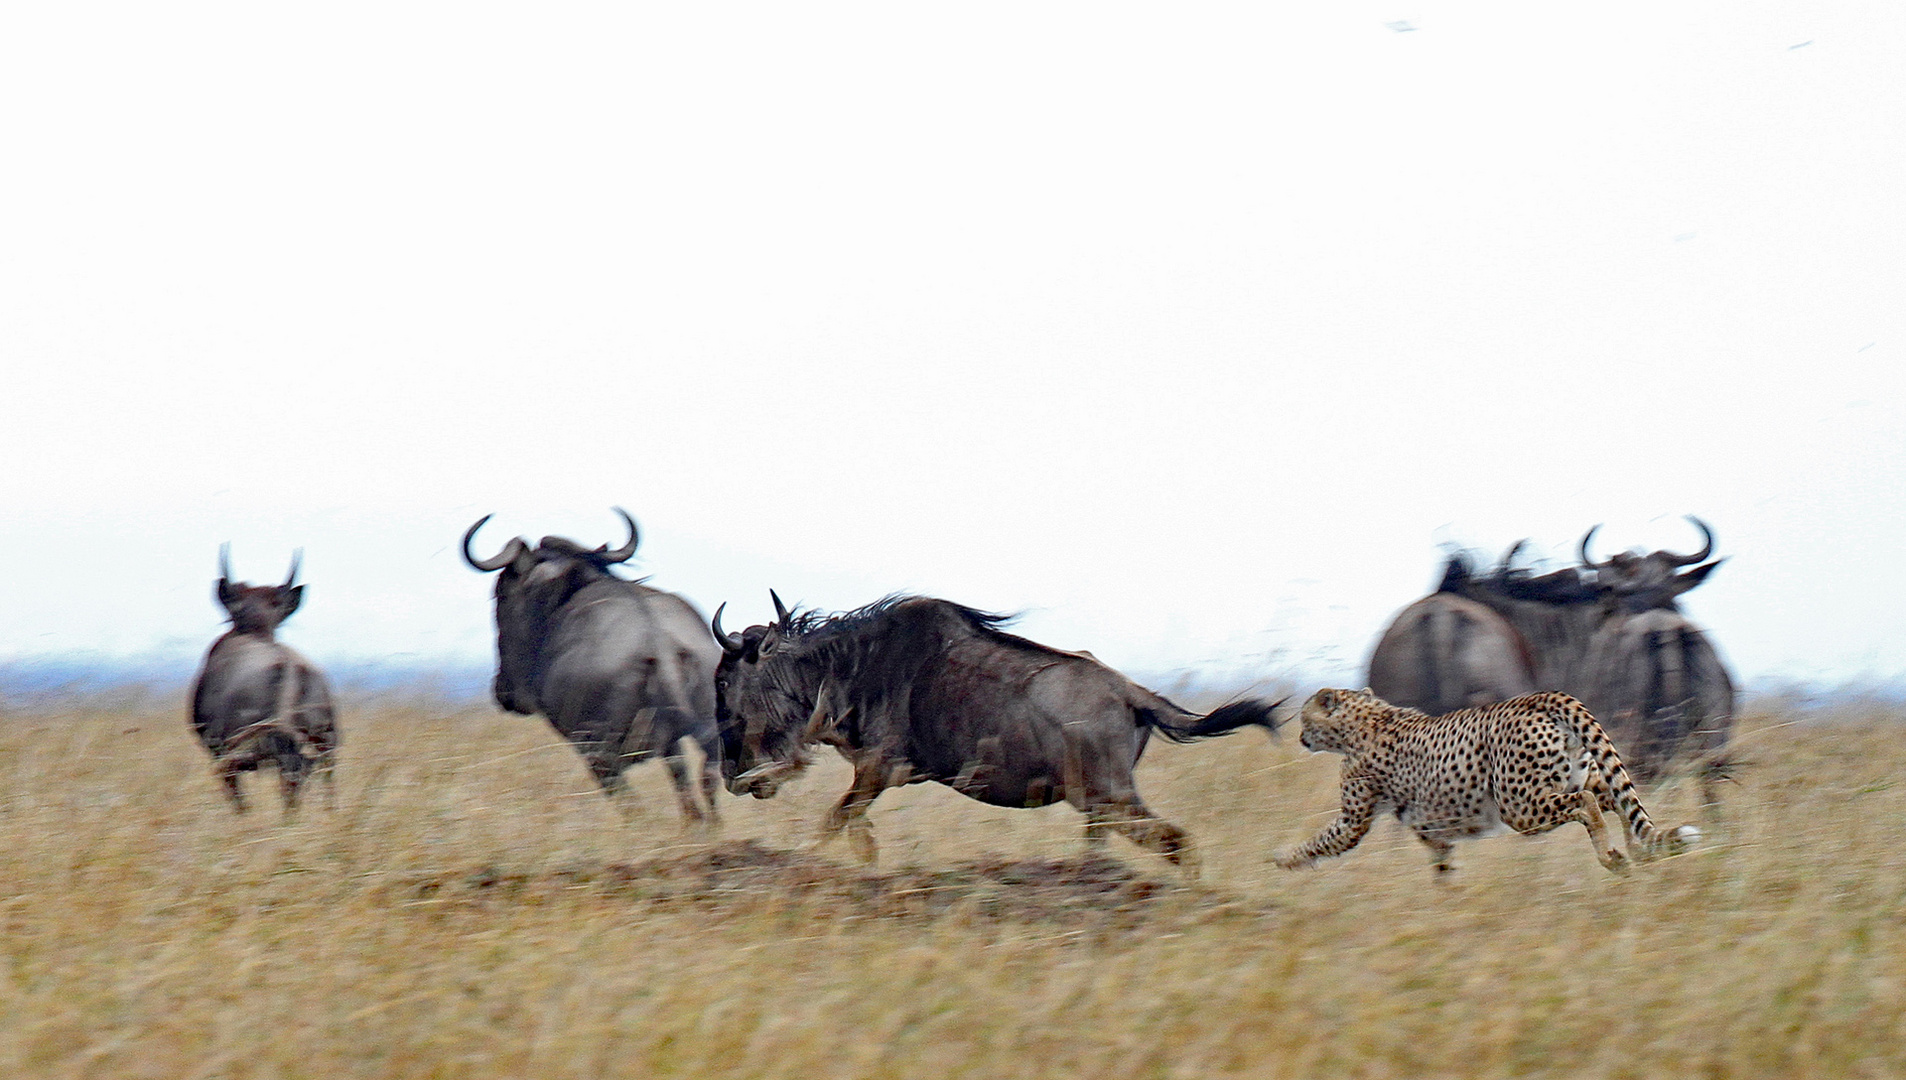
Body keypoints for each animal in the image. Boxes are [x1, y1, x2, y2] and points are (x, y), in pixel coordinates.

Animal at [1280, 693, 1700, 880]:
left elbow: (1322, 841)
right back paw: (1640, 852)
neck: (1363, 716)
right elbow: (1444, 868)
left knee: (1584, 804)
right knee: (1619, 800)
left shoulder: (1353, 821)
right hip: (1581, 775)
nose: (1299, 736)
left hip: (1520, 806)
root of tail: (1540, 697)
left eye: (1304, 717)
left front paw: (1284, 861)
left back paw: (1612, 857)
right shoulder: (1434, 833)